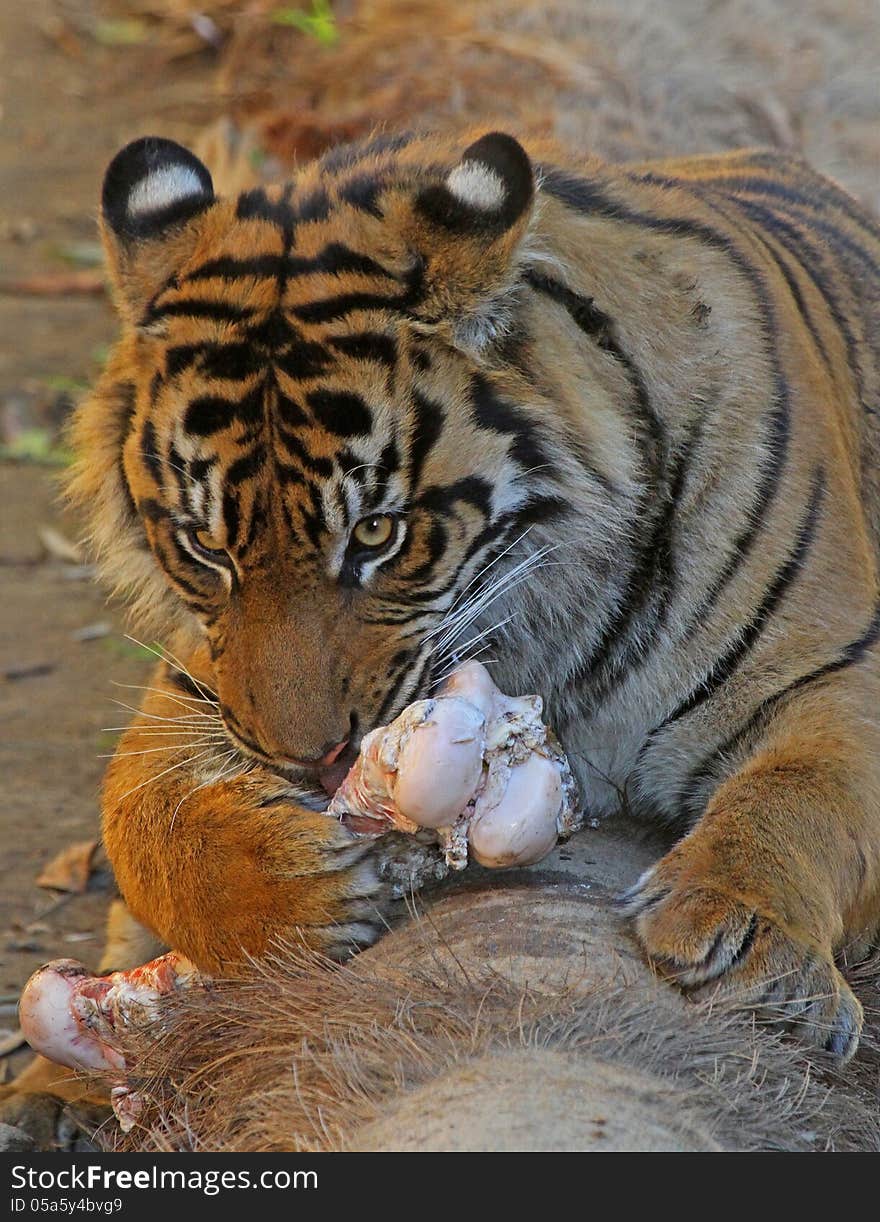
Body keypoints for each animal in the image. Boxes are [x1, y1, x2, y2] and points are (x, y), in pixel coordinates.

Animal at [66, 126, 880, 1060]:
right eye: (206, 546)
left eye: (376, 534)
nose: (305, 762)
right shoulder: (195, 687)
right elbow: (140, 818)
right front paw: (302, 893)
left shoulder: (830, 671)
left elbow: (801, 797)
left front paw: (741, 932)